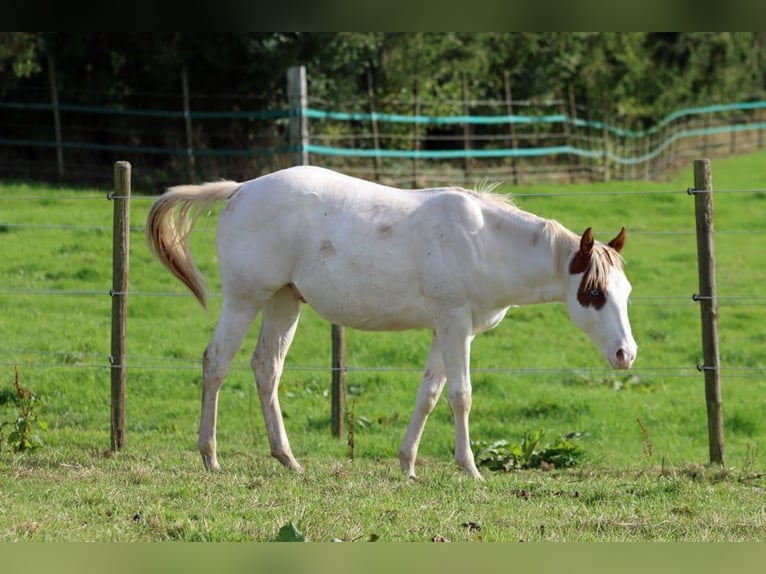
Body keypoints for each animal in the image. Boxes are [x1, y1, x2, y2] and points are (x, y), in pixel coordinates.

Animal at [146, 165, 637, 479]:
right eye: (595, 294)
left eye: (626, 292)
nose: (625, 354)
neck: (484, 242)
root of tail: (241, 189)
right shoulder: (455, 324)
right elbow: (461, 396)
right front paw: (470, 468)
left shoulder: (445, 329)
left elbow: (429, 395)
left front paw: (408, 465)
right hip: (245, 300)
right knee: (216, 363)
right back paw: (210, 458)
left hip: (285, 302)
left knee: (266, 368)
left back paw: (287, 459)